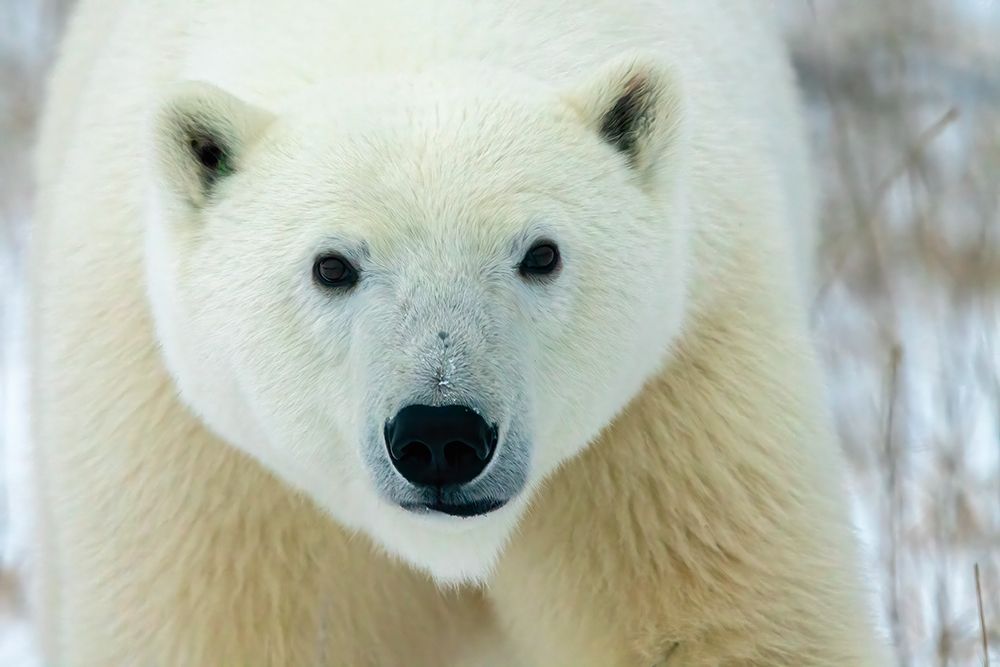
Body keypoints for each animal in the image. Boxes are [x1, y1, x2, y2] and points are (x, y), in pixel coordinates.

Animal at [27, 0, 891, 664]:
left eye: (540, 253)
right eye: (332, 265)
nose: (440, 435)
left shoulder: (674, 411)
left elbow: (716, 626)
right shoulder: (206, 467)